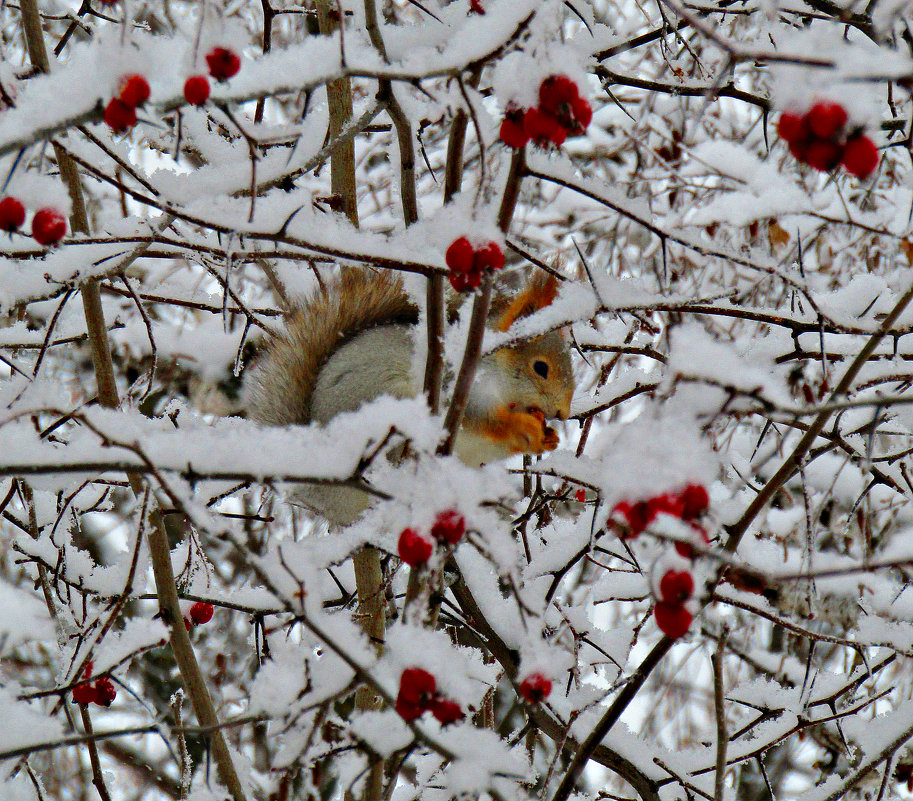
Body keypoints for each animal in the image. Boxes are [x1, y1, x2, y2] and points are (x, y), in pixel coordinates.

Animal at [249, 268, 572, 524]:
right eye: (540, 367)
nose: (562, 413)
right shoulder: (454, 386)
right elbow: (479, 419)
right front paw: (521, 426)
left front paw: (548, 437)